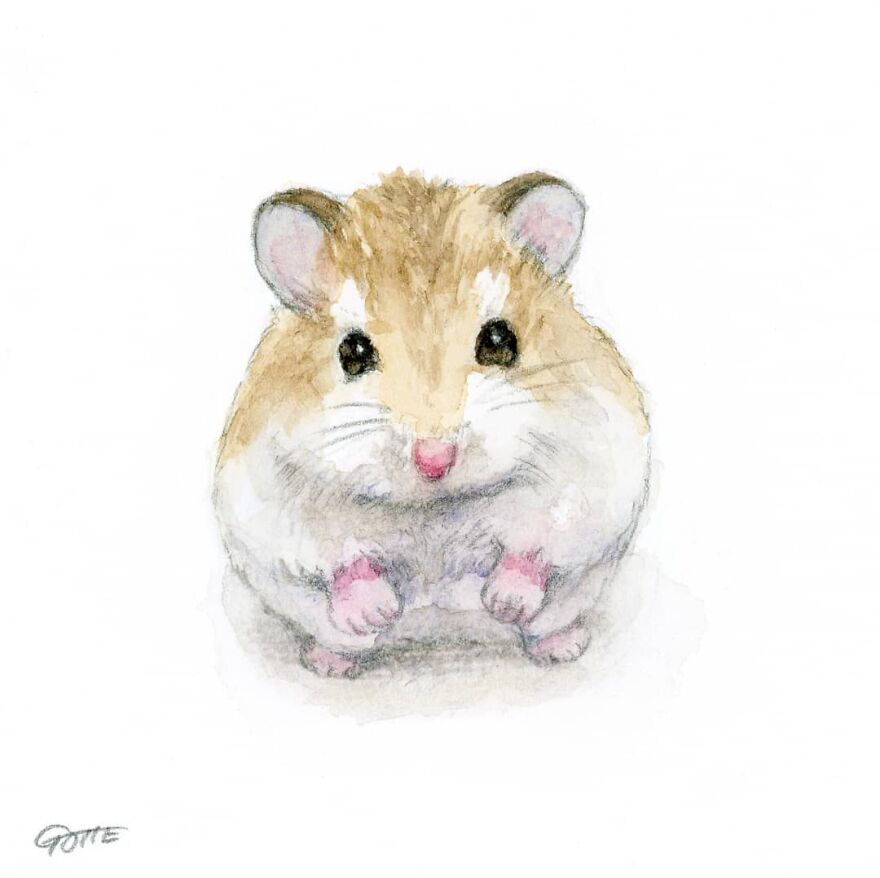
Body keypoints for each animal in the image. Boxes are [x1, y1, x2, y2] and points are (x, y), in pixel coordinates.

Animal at [214, 170, 649, 677]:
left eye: (499, 340)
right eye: (352, 352)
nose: (435, 460)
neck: (434, 507)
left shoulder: (597, 465)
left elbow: (541, 537)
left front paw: (503, 602)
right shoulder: (266, 496)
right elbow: (333, 556)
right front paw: (377, 611)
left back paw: (562, 647)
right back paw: (330, 662)